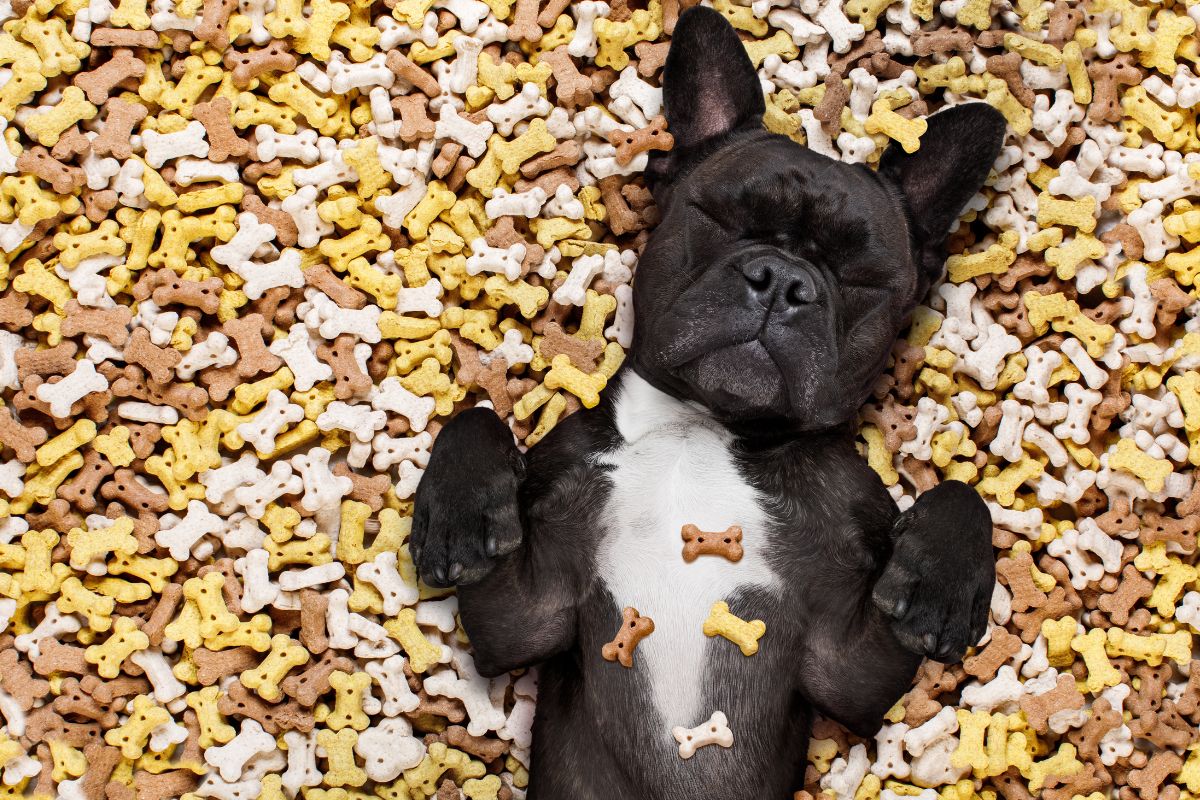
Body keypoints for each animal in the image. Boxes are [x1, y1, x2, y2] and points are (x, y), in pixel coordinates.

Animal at [412, 9, 1003, 796]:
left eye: (862, 276)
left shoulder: (849, 669)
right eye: (722, 219)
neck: (703, 428)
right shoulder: (523, 617)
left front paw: (943, 582)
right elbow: (474, 415)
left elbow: (961, 493)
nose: (782, 279)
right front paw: (459, 517)